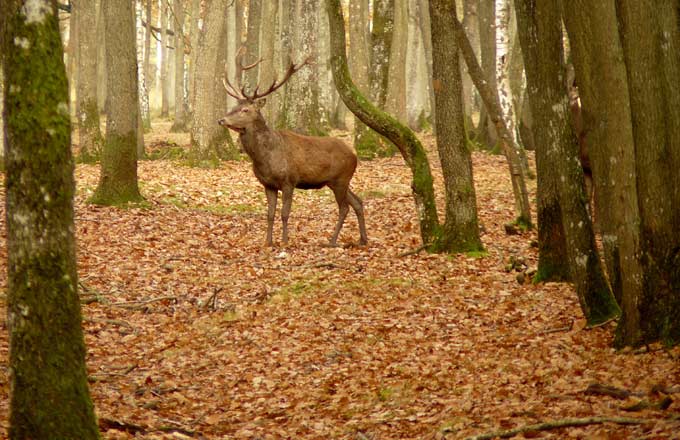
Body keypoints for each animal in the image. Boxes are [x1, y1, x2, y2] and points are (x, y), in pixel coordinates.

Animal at [216, 51, 366, 248]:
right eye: (234, 107)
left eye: (246, 110)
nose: (221, 120)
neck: (265, 158)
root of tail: (354, 156)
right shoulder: (268, 184)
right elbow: (270, 214)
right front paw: (268, 242)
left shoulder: (289, 180)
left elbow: (284, 213)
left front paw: (285, 241)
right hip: (336, 181)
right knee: (358, 202)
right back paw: (363, 239)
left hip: (341, 178)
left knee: (344, 207)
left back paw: (332, 241)